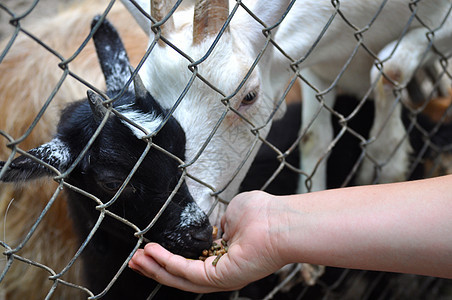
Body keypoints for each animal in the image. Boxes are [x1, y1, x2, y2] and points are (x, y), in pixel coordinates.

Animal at [120, 0, 452, 218]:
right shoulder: (313, 68)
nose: (187, 215)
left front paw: (388, 166)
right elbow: (313, 138)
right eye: (149, 100)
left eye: (249, 96)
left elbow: (390, 67)